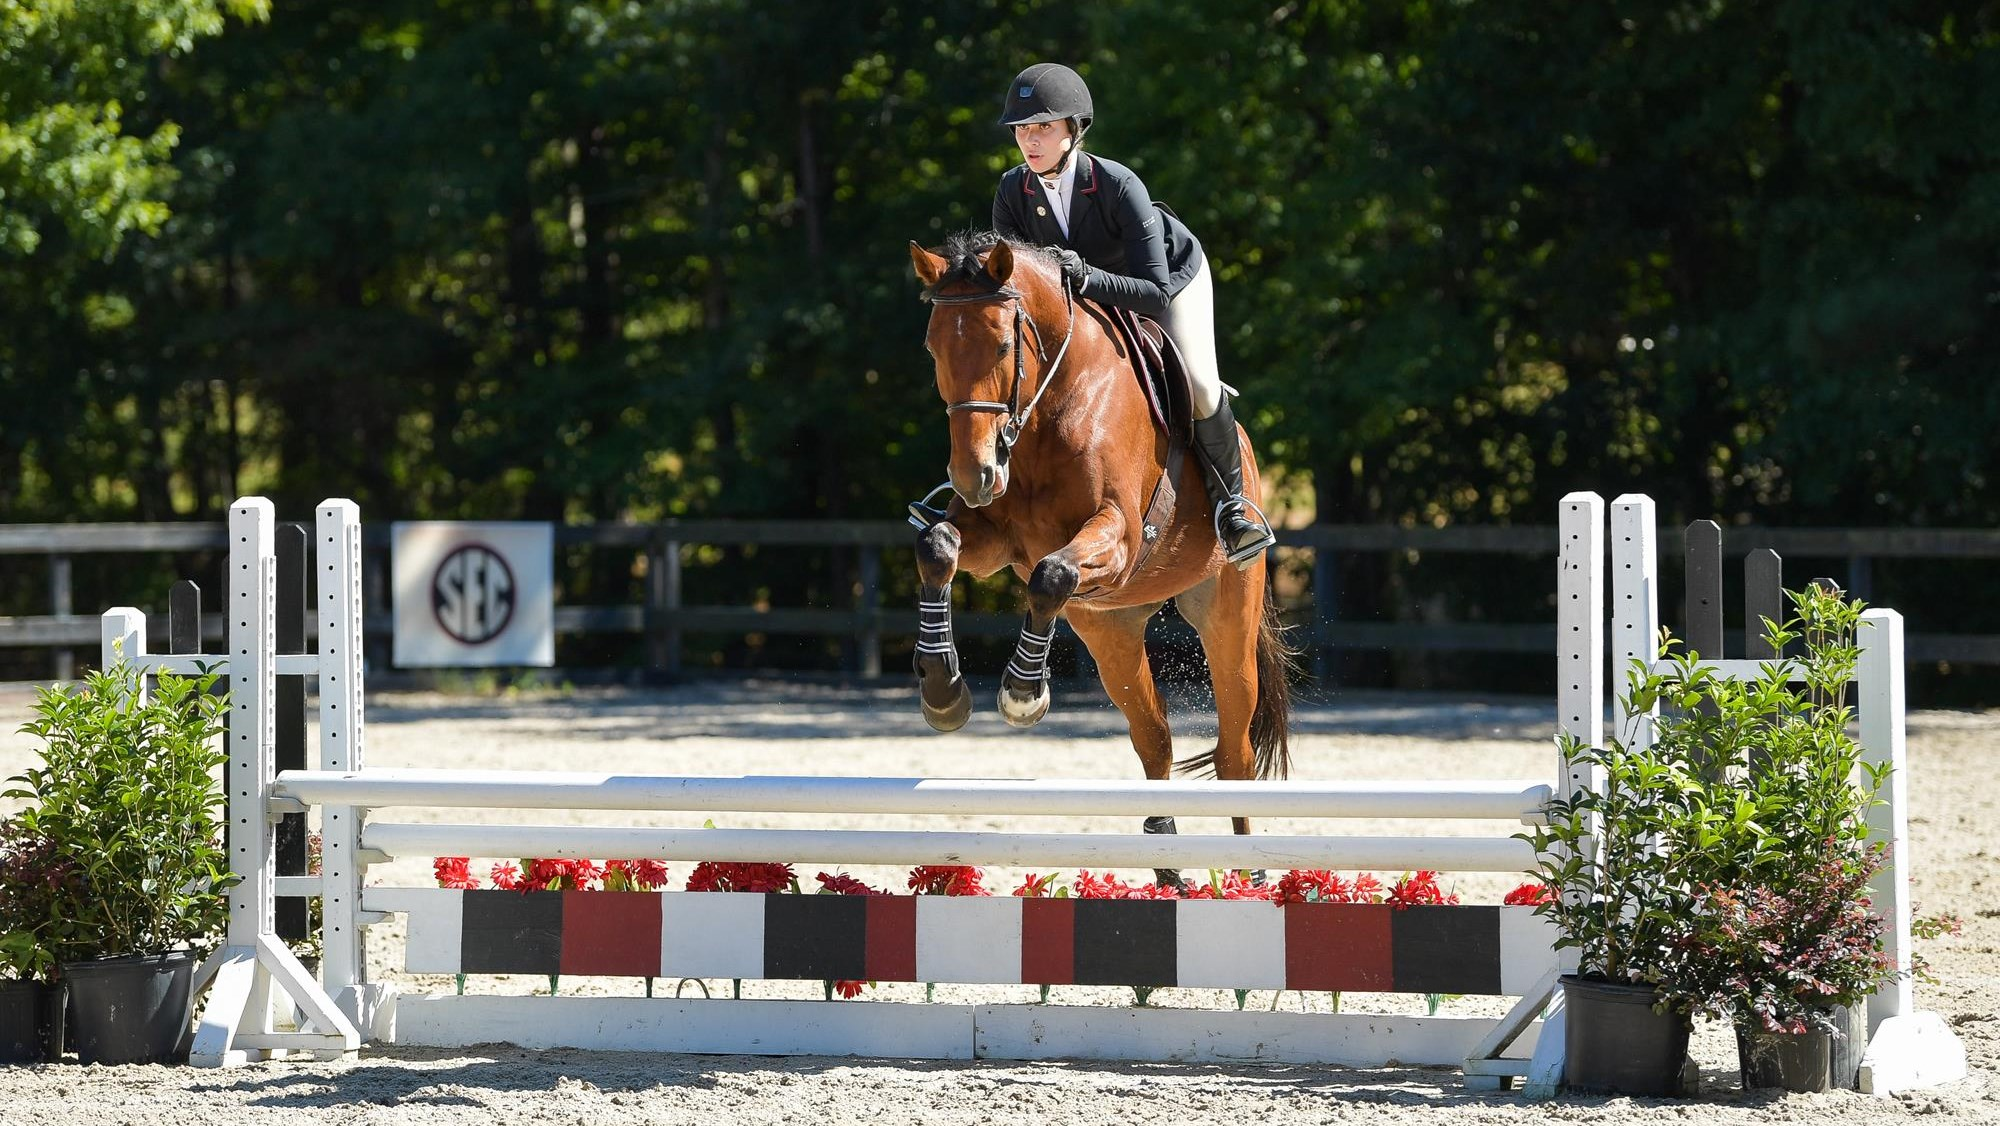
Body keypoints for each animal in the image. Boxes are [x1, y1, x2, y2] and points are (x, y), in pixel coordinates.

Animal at [912, 231, 1296, 864]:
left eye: (1002, 347)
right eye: (933, 349)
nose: (973, 477)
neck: (1049, 407)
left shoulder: (1116, 537)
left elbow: (1050, 574)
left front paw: (1021, 695)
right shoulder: (993, 539)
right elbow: (938, 546)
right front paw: (943, 690)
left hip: (1226, 614)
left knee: (1235, 753)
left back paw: (1251, 872)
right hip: (1111, 627)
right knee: (1154, 737)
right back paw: (1167, 862)